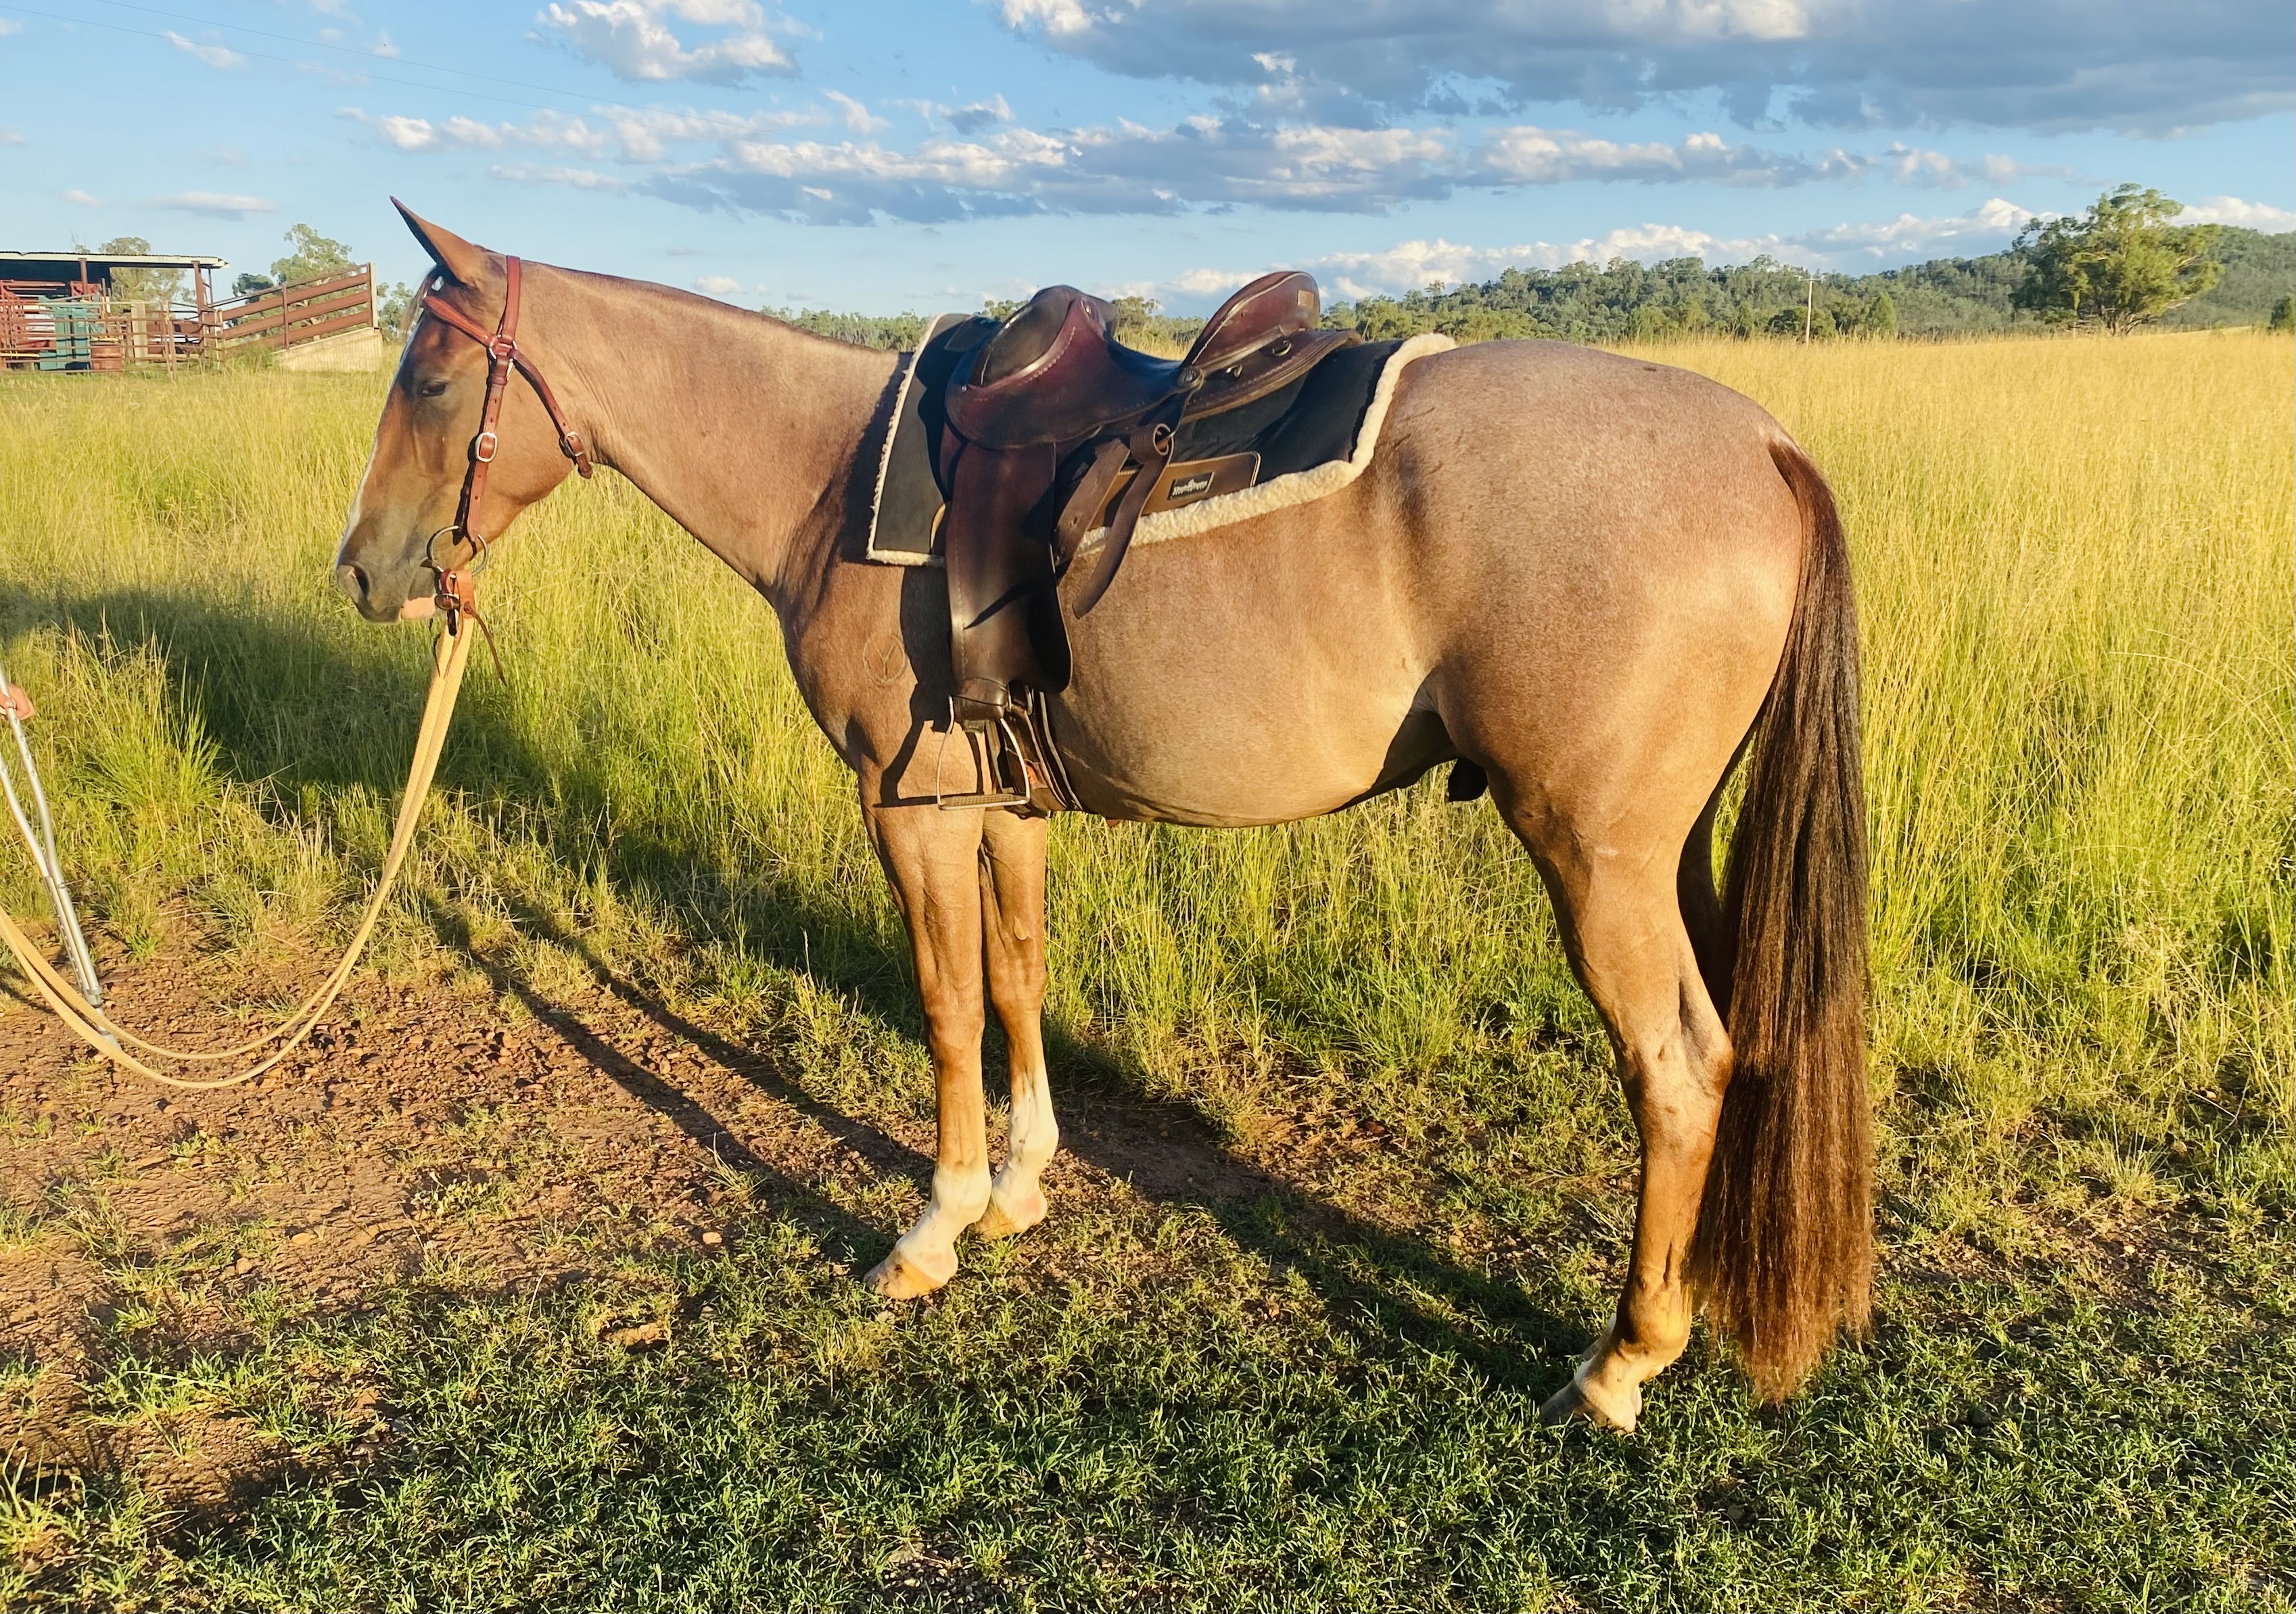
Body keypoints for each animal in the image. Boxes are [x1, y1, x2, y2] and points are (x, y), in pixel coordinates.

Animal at [335, 205, 1873, 1431]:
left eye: (431, 374)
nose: (362, 572)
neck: (830, 478)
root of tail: (1762, 442)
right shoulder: (1001, 800)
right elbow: (1018, 978)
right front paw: (1020, 1182)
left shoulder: (910, 807)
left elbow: (947, 1003)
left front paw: (935, 1223)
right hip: (1668, 853)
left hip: (1597, 859)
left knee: (1677, 1070)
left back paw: (1622, 1359)